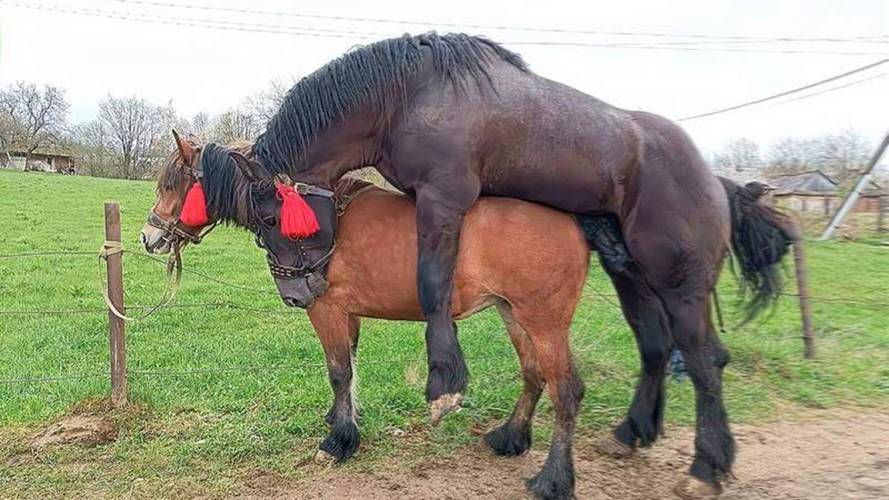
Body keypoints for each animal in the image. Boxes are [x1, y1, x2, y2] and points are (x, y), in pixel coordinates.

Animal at [140, 33, 796, 496]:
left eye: (175, 184)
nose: (149, 237)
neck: (404, 96)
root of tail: (715, 179)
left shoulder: (429, 210)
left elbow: (361, 351)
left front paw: (371, 421)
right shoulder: (349, 310)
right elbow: (349, 370)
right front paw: (347, 430)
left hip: (653, 291)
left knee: (679, 367)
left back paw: (664, 468)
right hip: (595, 290)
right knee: (630, 355)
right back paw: (568, 434)